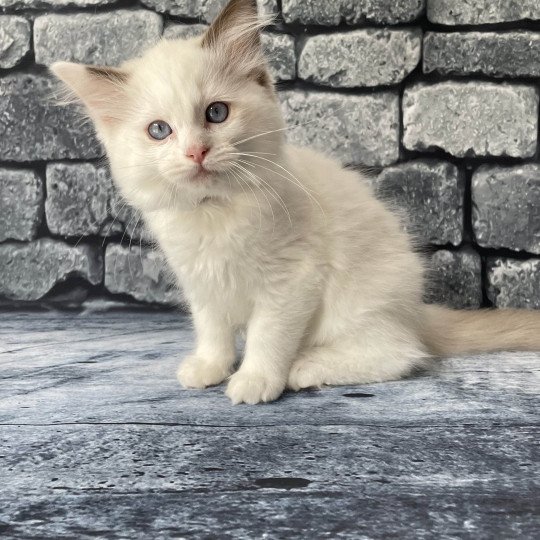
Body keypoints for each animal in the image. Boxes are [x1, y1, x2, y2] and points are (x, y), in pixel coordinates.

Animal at [51, 0, 540, 404]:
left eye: (216, 113)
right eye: (159, 131)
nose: (196, 153)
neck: (216, 210)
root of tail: (417, 311)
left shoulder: (291, 280)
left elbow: (268, 337)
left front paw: (254, 381)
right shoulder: (202, 281)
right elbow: (212, 330)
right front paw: (209, 368)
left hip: (360, 299)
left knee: (399, 353)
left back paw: (306, 367)